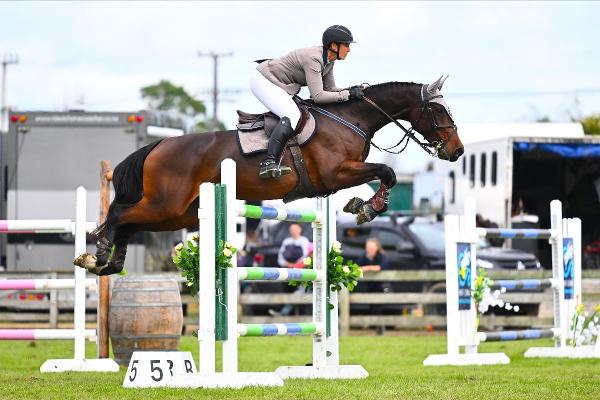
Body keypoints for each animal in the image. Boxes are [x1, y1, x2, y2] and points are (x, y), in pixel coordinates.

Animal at [74, 76, 464, 276]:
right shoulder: (335, 174)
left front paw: (363, 205)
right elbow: (387, 172)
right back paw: (97, 255)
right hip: (165, 205)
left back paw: (109, 264)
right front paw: (367, 206)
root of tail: (159, 145)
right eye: (438, 110)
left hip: (175, 215)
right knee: (119, 215)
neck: (348, 118)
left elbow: (386, 174)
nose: (457, 151)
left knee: (130, 223)